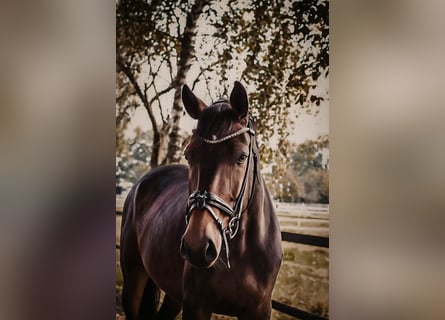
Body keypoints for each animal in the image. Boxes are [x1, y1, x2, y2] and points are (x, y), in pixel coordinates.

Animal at [119, 81, 280, 318]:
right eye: (189, 155)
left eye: (242, 156)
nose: (197, 245)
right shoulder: (196, 305)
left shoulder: (259, 309)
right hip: (133, 280)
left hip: (173, 296)